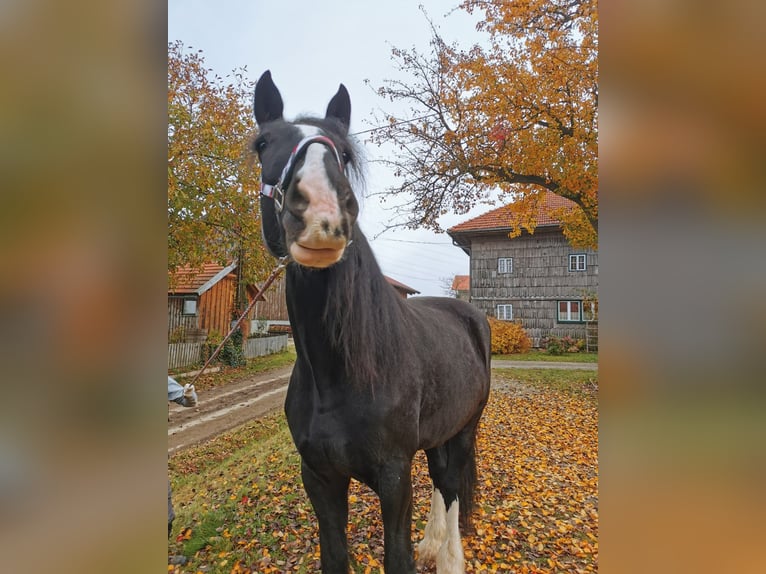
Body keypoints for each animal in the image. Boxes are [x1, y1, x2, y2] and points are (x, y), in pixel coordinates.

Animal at [251, 70, 491, 574]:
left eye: (343, 152)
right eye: (263, 143)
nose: (322, 212)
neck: (336, 377)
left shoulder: (394, 477)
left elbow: (397, 556)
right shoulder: (319, 478)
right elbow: (335, 557)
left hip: (465, 427)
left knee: (451, 484)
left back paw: (449, 557)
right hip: (438, 430)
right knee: (440, 479)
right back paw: (432, 543)